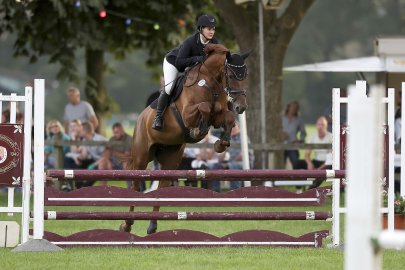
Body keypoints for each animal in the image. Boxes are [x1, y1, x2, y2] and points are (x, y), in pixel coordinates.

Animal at [118, 44, 248, 234]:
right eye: (231, 76)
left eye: (245, 75)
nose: (241, 107)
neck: (211, 83)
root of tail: (140, 118)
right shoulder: (187, 114)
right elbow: (204, 107)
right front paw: (198, 130)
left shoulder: (219, 116)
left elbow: (228, 117)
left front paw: (221, 144)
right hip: (142, 156)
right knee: (136, 185)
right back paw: (127, 224)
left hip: (170, 159)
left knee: (162, 186)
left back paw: (152, 225)